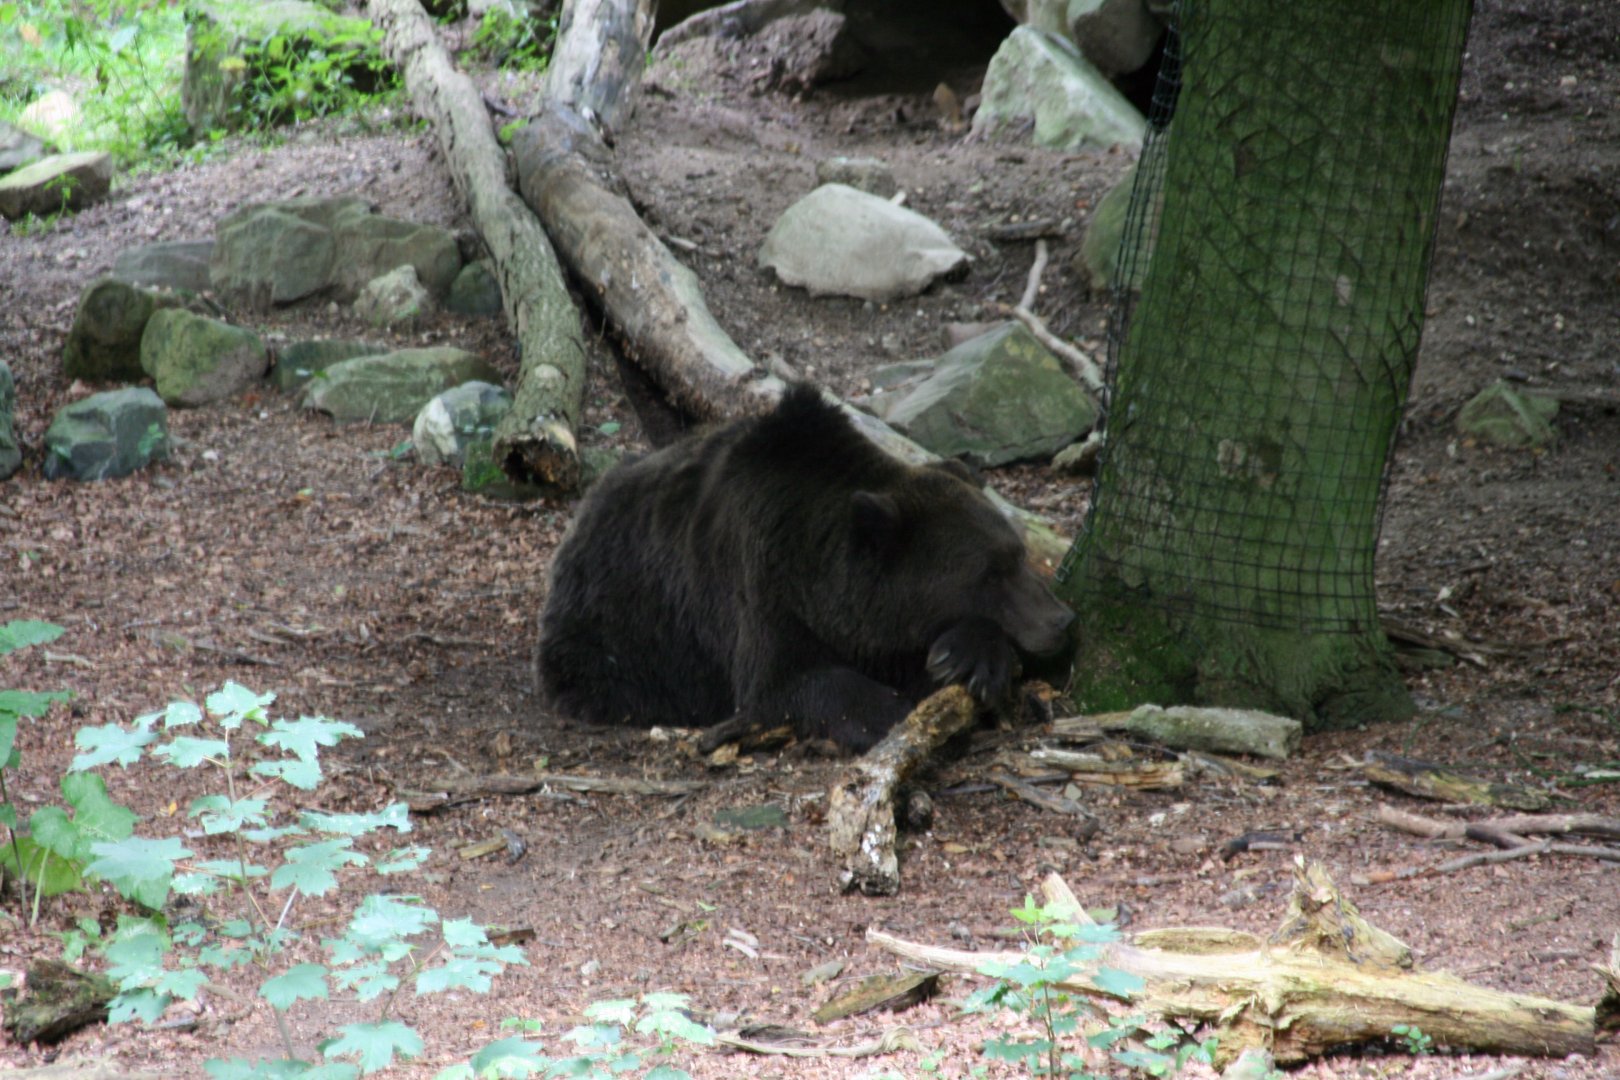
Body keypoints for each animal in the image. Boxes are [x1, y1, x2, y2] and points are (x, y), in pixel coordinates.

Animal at [536, 384, 1076, 751]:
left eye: (1018, 553)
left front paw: (968, 659)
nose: (1062, 620)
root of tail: (583, 511)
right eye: (990, 573)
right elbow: (782, 683)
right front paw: (891, 710)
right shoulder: (756, 588)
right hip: (617, 625)